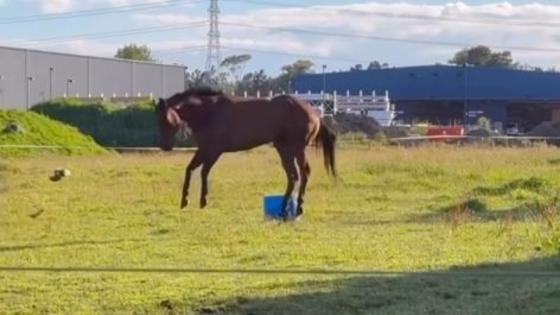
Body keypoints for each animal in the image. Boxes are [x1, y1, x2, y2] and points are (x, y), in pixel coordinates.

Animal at [154, 87, 336, 218]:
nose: (164, 146)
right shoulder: (205, 149)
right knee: (293, 176)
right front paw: (186, 201)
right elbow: (191, 169)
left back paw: (298, 208)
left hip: (297, 149)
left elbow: (203, 171)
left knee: (304, 173)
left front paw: (201, 200)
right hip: (284, 150)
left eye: (165, 119)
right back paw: (284, 209)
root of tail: (315, 113)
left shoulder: (213, 150)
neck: (209, 112)